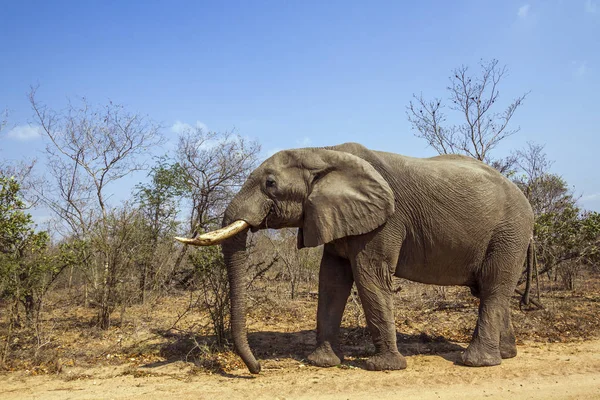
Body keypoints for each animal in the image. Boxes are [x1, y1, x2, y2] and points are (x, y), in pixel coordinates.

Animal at [175, 143, 536, 376]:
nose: (258, 369)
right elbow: (332, 280)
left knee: (493, 287)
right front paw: (321, 363)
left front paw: (384, 368)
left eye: (270, 183)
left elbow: (369, 277)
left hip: (510, 233)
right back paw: (506, 355)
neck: (323, 151)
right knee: (490, 290)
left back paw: (476, 362)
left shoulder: (385, 221)